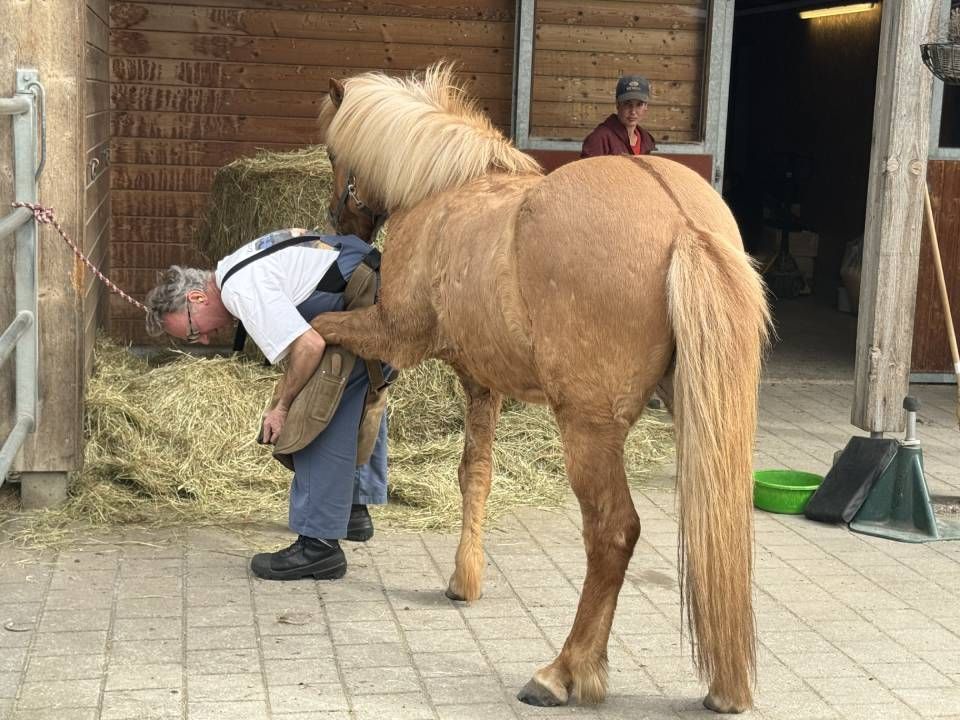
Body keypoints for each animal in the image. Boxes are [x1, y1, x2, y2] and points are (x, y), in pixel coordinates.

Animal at [313, 64, 770, 714]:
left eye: (334, 153)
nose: (341, 224)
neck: (444, 188)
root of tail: (683, 221)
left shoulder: (393, 334)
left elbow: (330, 339)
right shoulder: (482, 382)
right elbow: (474, 473)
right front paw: (464, 578)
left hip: (588, 430)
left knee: (613, 533)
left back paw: (563, 671)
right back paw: (723, 688)